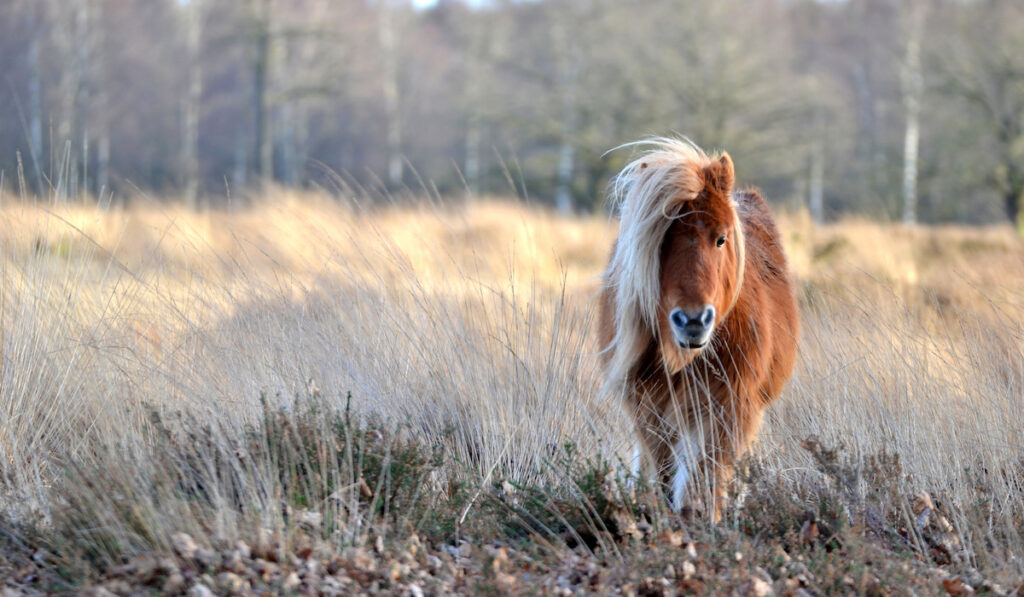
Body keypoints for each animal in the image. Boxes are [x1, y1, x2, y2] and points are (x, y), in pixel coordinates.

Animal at [598, 138, 798, 520]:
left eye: (720, 239)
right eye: (660, 241)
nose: (692, 321)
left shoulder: (728, 407)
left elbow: (706, 478)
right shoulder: (649, 408)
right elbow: (660, 472)